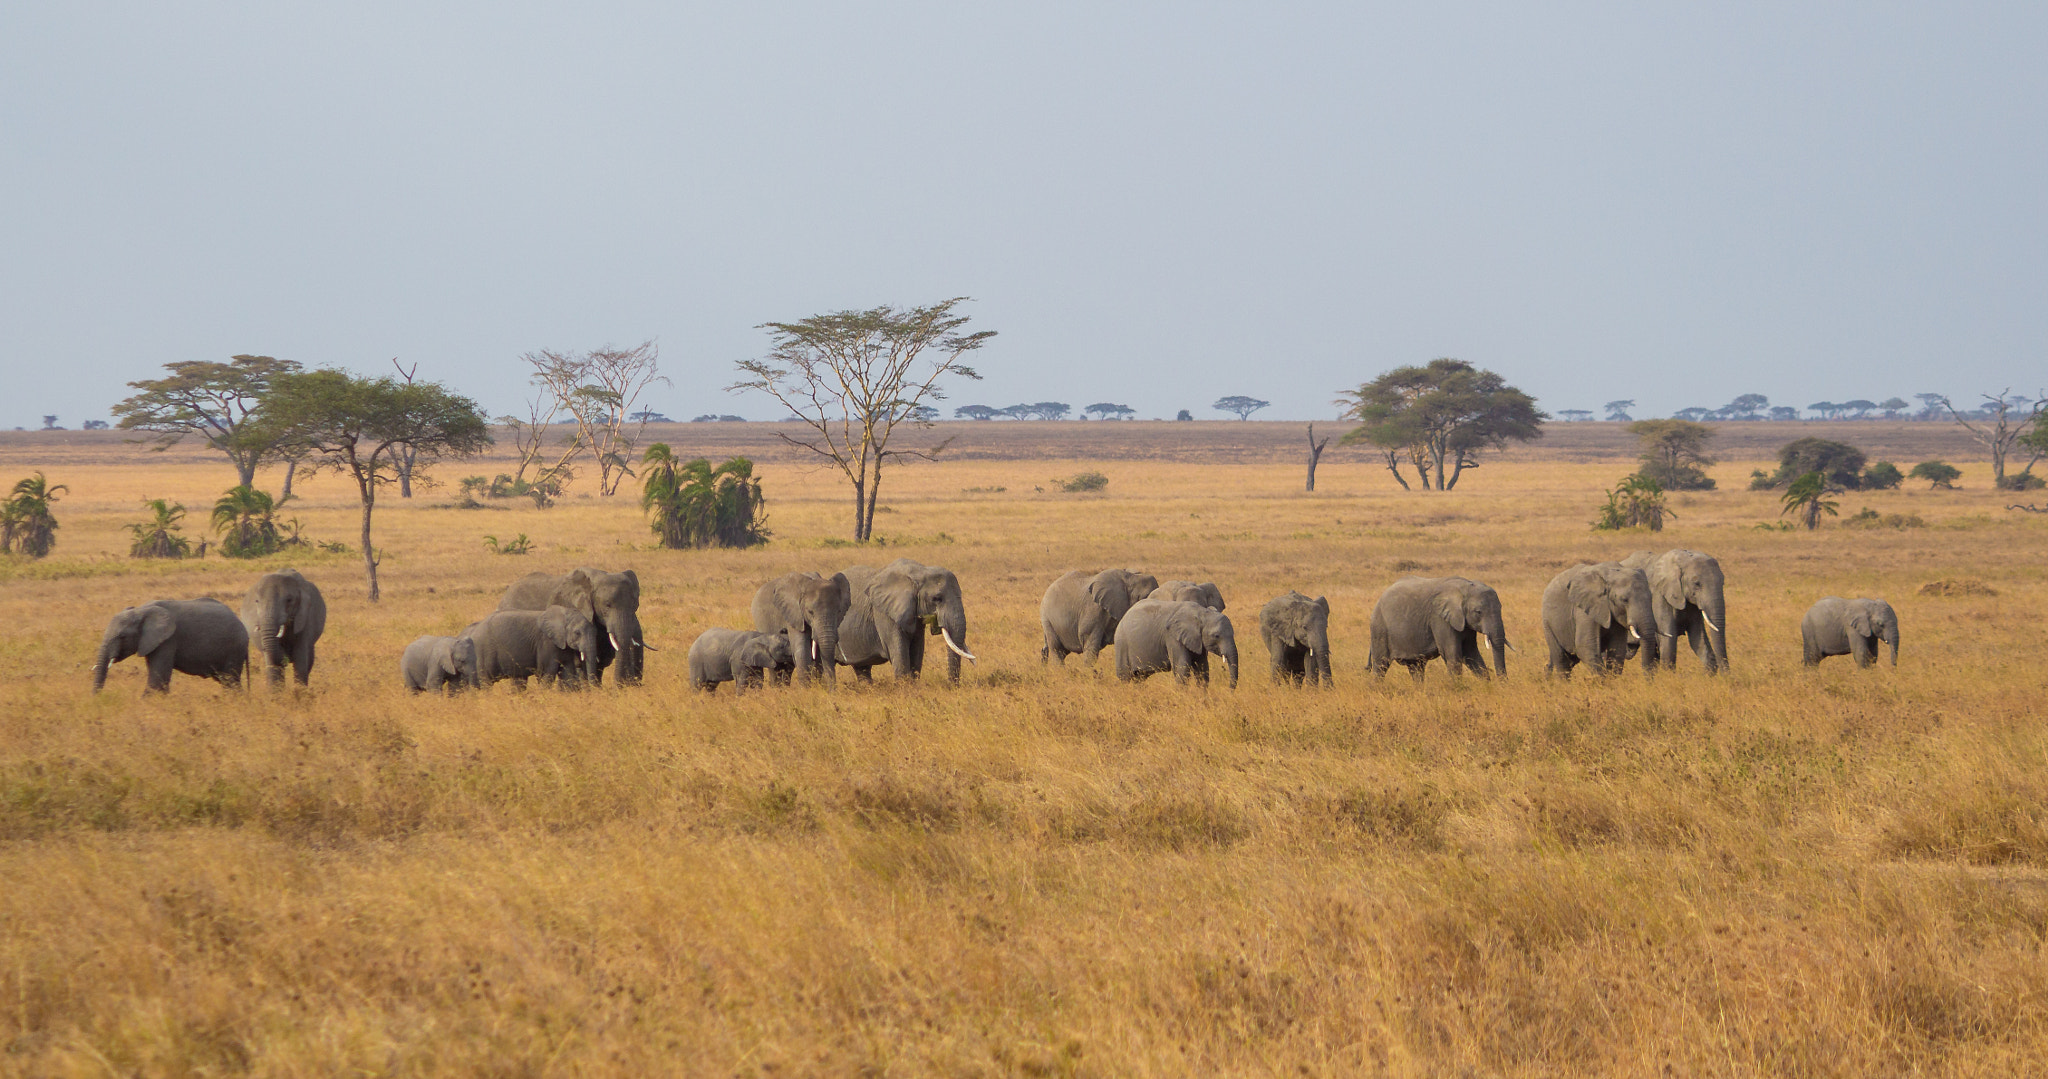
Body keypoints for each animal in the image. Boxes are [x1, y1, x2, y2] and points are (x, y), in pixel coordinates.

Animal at [92, 598, 248, 693]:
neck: (142, 610)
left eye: (122, 636)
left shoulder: (168, 639)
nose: (97, 699)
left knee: (230, 681)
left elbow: (158, 680)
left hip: (234, 648)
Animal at [459, 604, 600, 689]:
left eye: (596, 632)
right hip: (482, 652)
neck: (564, 615)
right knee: (486, 682)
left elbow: (568, 672)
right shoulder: (546, 643)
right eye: (577, 633)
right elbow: (547, 672)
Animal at [835, 558, 975, 683]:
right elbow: (899, 652)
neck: (920, 572)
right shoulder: (884, 613)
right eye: (937, 598)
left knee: (862, 668)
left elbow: (917, 649)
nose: (951, 686)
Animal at [1368, 576, 1508, 682]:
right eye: (1478, 612)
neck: (1465, 587)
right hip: (1379, 628)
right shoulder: (1439, 619)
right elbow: (1452, 654)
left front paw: (1486, 686)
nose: (1502, 685)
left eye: (1501, 608)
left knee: (1416, 667)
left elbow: (1471, 653)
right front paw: (1458, 689)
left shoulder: (1465, 623)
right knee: (1381, 665)